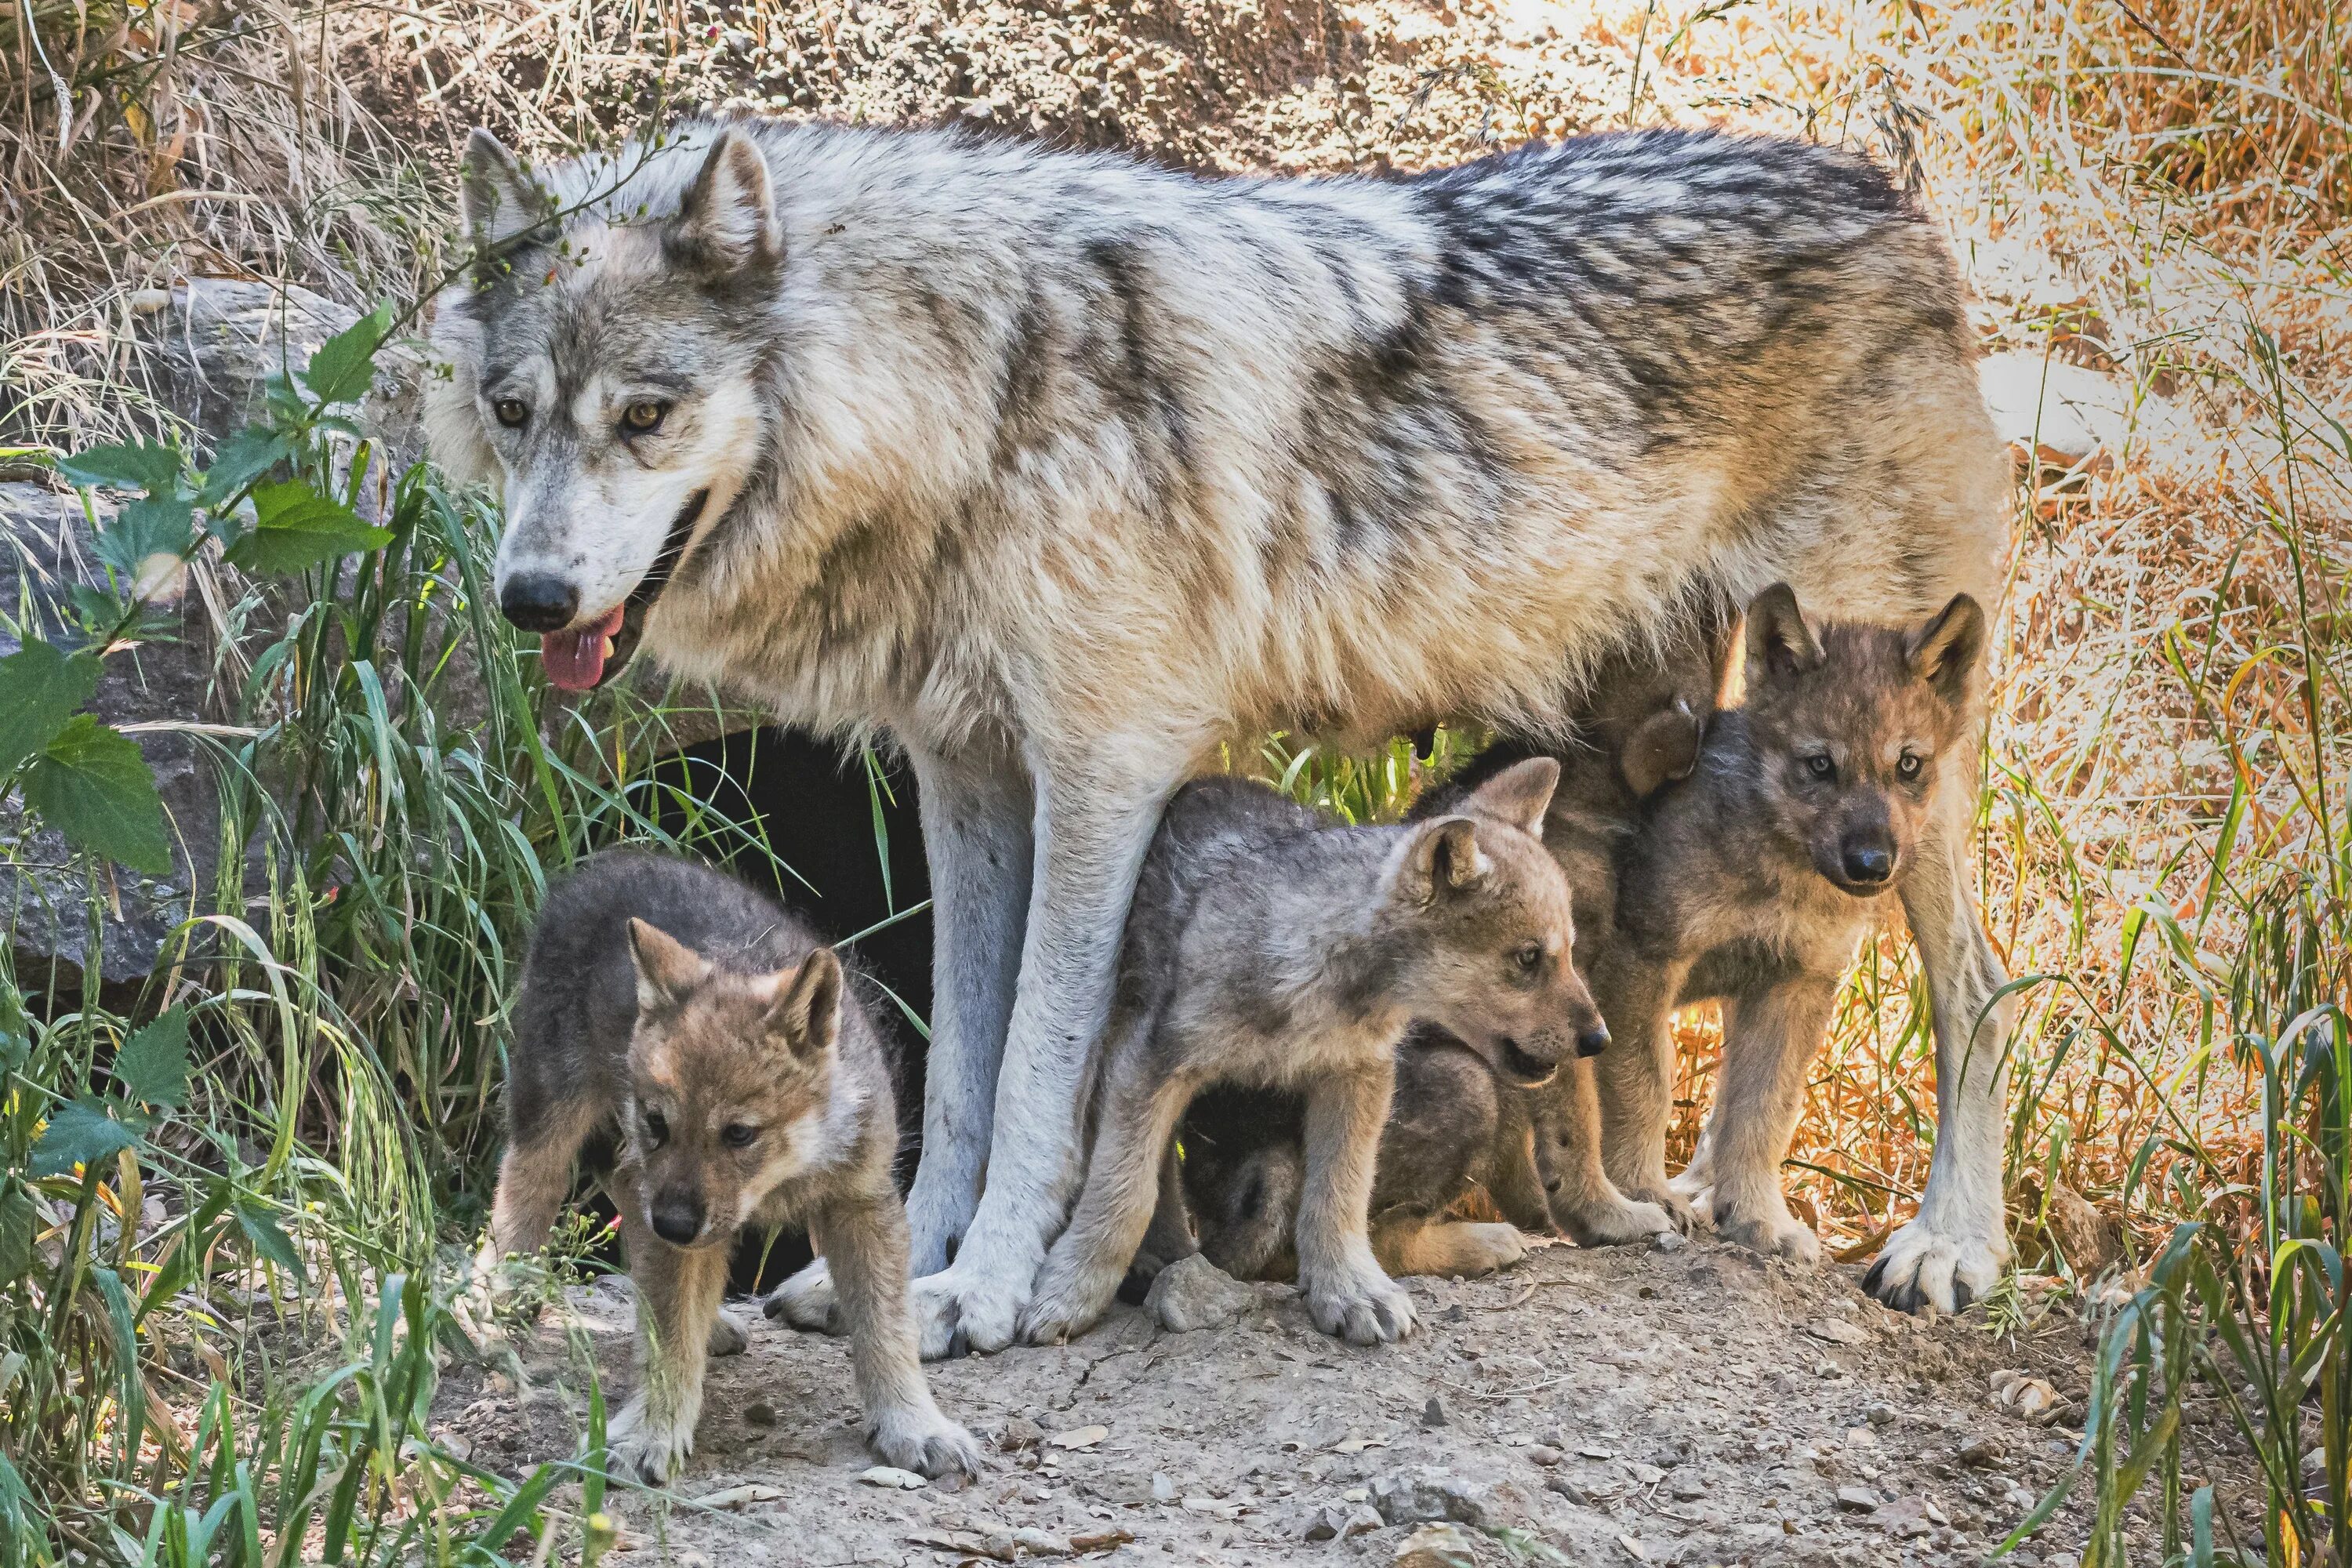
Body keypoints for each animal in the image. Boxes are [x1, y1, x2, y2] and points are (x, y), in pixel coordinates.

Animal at [419, 116, 2004, 1354]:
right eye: (512, 411)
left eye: (645, 415)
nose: (529, 596)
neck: (977, 397)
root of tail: (1889, 198)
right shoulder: (969, 781)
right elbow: (964, 1062)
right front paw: (896, 1266)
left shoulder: (1103, 776)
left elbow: (1036, 1074)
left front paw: (983, 1294)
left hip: (1908, 786)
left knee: (1976, 987)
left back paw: (1947, 1247)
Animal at [482, 851, 978, 1476]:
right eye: (658, 1123)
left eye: (739, 1134)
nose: (672, 1225)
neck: (783, 1176)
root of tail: (602, 865)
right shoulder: (668, 1199)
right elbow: (669, 1336)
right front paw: (651, 1433)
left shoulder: (861, 1202)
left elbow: (887, 1331)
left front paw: (914, 1425)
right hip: (553, 1114)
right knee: (523, 1191)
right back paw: (498, 1303)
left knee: (623, 1201)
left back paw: (709, 1323)